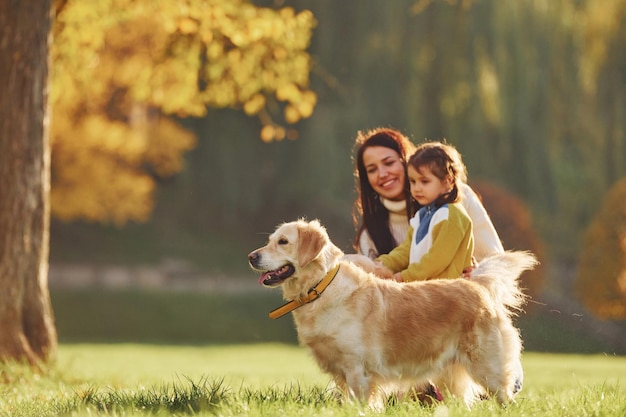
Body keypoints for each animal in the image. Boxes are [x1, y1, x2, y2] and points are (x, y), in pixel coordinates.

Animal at [249, 219, 536, 408]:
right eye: (269, 241)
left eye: (283, 242)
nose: (251, 256)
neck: (320, 288)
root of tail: (477, 285)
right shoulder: (341, 373)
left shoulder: (358, 369)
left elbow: (361, 404)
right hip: (452, 375)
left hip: (489, 368)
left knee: (506, 399)